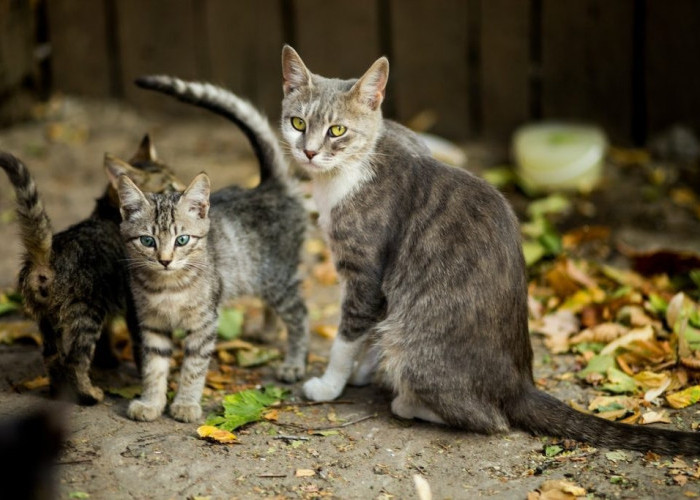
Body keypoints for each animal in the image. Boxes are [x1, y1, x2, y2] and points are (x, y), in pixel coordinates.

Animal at [0, 135, 185, 404]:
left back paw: (58, 392)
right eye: (170, 186)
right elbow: (143, 350)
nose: (185, 188)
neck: (108, 213)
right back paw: (89, 394)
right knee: (75, 360)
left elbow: (108, 338)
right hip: (87, 312)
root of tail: (46, 257)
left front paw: (109, 360)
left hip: (47, 319)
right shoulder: (135, 307)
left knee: (52, 357)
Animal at [113, 77, 308, 422]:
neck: (168, 286)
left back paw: (294, 363)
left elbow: (193, 367)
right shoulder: (151, 324)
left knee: (300, 314)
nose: (165, 260)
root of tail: (269, 186)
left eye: (182, 240)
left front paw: (186, 404)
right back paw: (267, 332)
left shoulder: (205, 322)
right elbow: (154, 367)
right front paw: (151, 403)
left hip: (278, 278)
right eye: (148, 241)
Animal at [282, 45, 700, 456]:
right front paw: (361, 370)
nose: (309, 153)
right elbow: (369, 332)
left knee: (490, 420)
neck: (350, 169)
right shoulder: (380, 289)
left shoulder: (365, 272)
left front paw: (329, 383)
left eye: (337, 130)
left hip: (416, 349)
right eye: (298, 123)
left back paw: (408, 402)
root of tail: (520, 385)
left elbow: (348, 336)